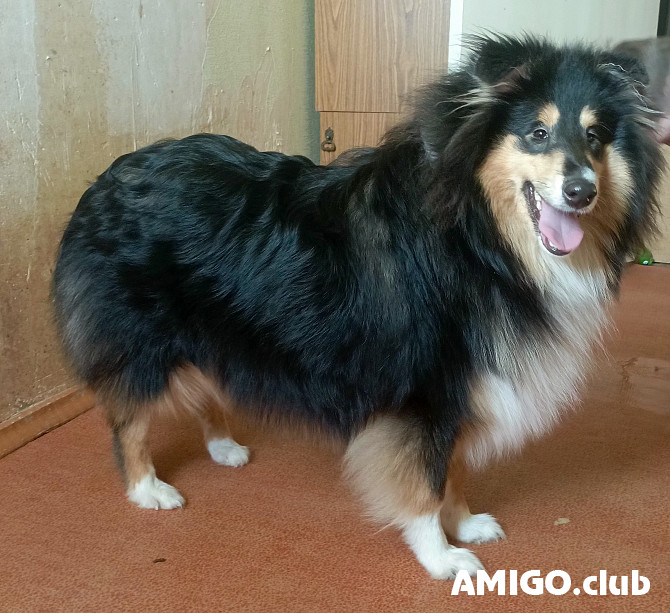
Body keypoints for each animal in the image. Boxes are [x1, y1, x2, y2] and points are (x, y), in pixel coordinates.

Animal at [51, 35, 660, 576]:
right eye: (537, 132)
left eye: (596, 136)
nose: (582, 191)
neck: (478, 237)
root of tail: (106, 177)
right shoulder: (424, 391)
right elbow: (426, 481)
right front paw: (442, 556)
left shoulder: (464, 387)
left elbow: (455, 469)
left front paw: (464, 523)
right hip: (144, 338)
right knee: (128, 419)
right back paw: (147, 490)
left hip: (216, 326)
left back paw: (223, 447)